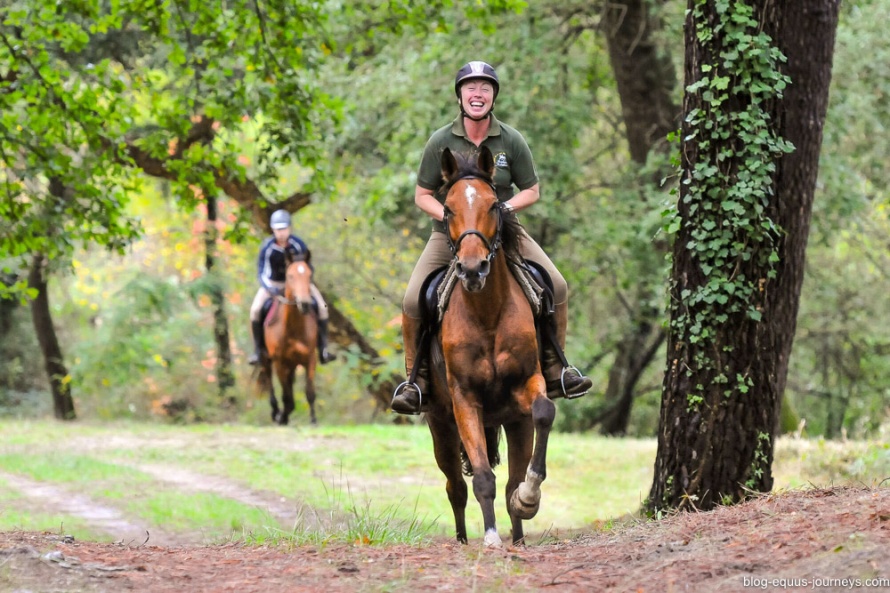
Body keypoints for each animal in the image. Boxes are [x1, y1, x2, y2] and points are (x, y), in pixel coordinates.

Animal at [256, 252, 320, 424]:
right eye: (290, 276)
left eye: (309, 275)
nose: (304, 303)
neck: (293, 327)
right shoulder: (279, 362)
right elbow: (286, 396)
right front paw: (281, 417)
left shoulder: (310, 358)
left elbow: (309, 391)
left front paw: (313, 420)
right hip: (267, 360)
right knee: (270, 382)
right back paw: (275, 412)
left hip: (292, 365)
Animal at [420, 146, 552, 544]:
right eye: (447, 209)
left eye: (494, 205)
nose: (472, 269)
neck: (487, 312)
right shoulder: (465, 399)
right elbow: (481, 477)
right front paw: (491, 536)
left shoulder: (528, 386)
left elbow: (545, 412)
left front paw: (529, 499)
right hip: (440, 426)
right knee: (455, 487)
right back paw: (464, 538)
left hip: (514, 422)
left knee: (510, 480)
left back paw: (519, 529)